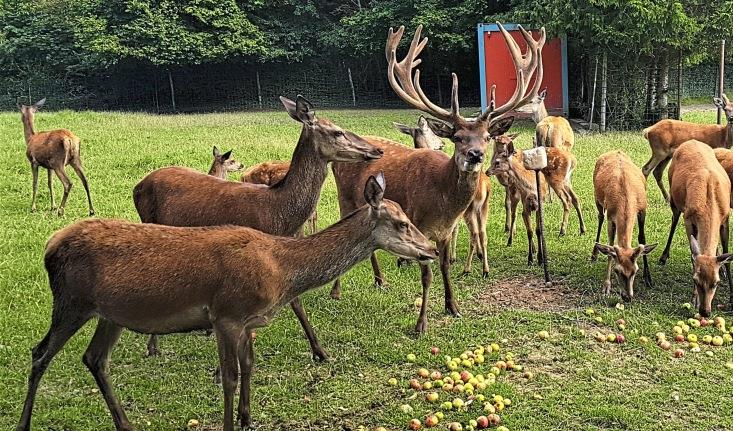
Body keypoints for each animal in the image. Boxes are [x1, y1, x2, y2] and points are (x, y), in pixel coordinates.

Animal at [16, 173, 438, 431]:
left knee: (94, 358)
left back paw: (126, 423)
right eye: (401, 223)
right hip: (71, 300)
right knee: (40, 352)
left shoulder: (247, 321)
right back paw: (24, 422)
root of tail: (49, 247)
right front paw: (230, 422)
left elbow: (250, 365)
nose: (431, 249)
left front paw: (248, 417)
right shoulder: (226, 314)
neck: (280, 271)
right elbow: (230, 377)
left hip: (110, 312)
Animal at [134, 95, 383, 360]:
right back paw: (153, 345)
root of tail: (137, 186)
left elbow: (297, 302)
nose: (377, 150)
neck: (281, 215)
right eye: (337, 131)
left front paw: (320, 351)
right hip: (149, 222)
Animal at [329, 23, 545, 334]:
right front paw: (421, 324)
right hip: (344, 196)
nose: (475, 155)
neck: (442, 202)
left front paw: (453, 307)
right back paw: (336, 291)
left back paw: (380, 281)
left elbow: (445, 267)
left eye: (487, 136)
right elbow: (427, 275)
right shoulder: (418, 225)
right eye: (457, 137)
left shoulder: (445, 230)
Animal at [590, 150, 656, 301]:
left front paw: (648, 278)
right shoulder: (610, 216)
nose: (627, 296)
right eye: (616, 270)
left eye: (635, 270)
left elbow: (642, 239)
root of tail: (615, 150)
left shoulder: (643, 210)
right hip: (597, 199)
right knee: (600, 217)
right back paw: (594, 253)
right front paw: (606, 287)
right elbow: (610, 248)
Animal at [658, 140, 733, 317]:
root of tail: (690, 141)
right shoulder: (689, 219)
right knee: (674, 220)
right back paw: (663, 257)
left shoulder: (725, 219)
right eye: (695, 280)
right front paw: (694, 299)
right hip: (674, 198)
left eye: (716, 283)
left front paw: (732, 295)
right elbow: (693, 257)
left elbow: (727, 258)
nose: (705, 311)